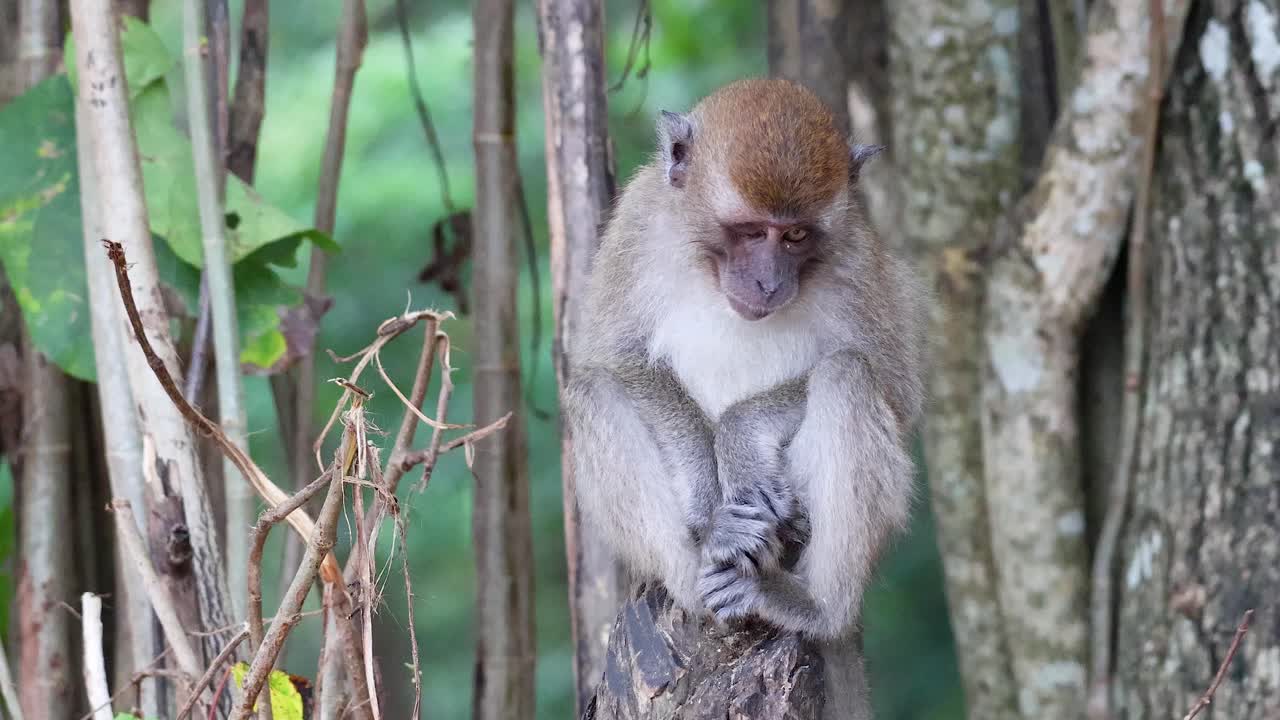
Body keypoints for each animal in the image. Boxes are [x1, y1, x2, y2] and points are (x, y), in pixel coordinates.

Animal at [563, 77, 926, 719]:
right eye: (752, 231)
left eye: (796, 235)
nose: (767, 281)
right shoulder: (639, 219)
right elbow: (609, 358)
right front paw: (709, 499)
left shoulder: (856, 251)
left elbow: (893, 383)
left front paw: (740, 440)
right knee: (591, 393)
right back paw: (703, 561)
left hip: (799, 524)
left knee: (847, 377)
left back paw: (814, 606)